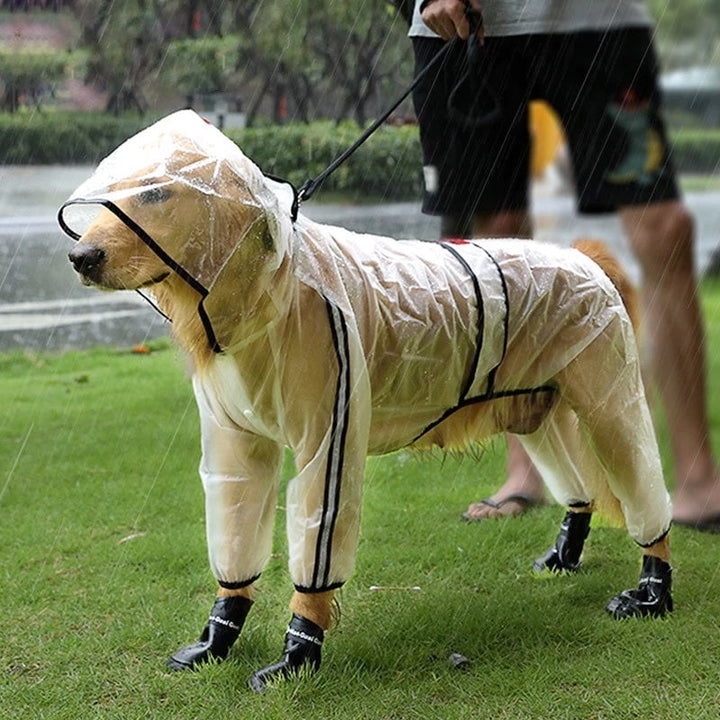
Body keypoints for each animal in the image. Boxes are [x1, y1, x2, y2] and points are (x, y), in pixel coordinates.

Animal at [59, 111, 672, 692]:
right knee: (580, 491)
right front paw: (217, 637)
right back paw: (565, 556)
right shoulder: (236, 446)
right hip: (536, 410)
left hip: (610, 403)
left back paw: (652, 592)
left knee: (643, 489)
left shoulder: (327, 439)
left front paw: (297, 656)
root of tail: (584, 257)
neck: (271, 283)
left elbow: (316, 554)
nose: (81, 256)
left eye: (155, 193)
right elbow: (234, 545)